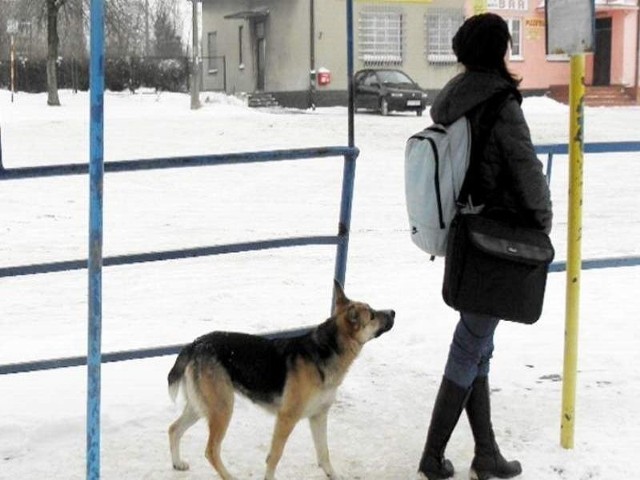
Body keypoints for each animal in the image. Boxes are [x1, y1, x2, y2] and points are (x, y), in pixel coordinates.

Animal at [168, 282, 392, 480]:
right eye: (372, 315)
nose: (393, 312)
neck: (326, 350)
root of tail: (195, 344)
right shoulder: (286, 418)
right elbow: (275, 456)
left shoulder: (319, 416)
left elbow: (324, 453)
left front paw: (334, 476)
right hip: (222, 409)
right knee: (211, 451)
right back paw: (229, 476)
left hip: (201, 407)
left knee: (174, 429)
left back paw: (177, 463)